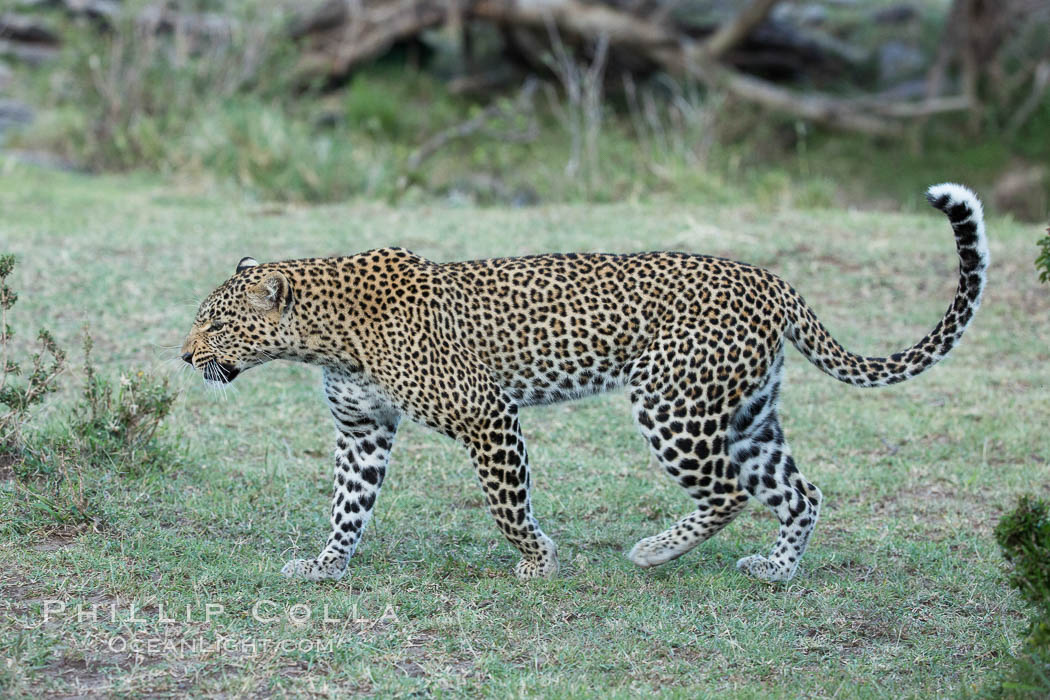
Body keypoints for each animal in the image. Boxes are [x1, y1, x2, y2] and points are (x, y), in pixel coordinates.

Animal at [176, 183, 986, 583]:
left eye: (213, 326)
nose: (184, 358)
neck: (324, 338)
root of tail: (770, 279)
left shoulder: (488, 417)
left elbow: (507, 506)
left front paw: (539, 562)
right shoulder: (362, 430)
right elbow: (347, 507)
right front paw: (323, 567)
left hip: (671, 402)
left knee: (728, 491)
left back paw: (656, 552)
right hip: (748, 413)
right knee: (799, 492)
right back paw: (777, 571)